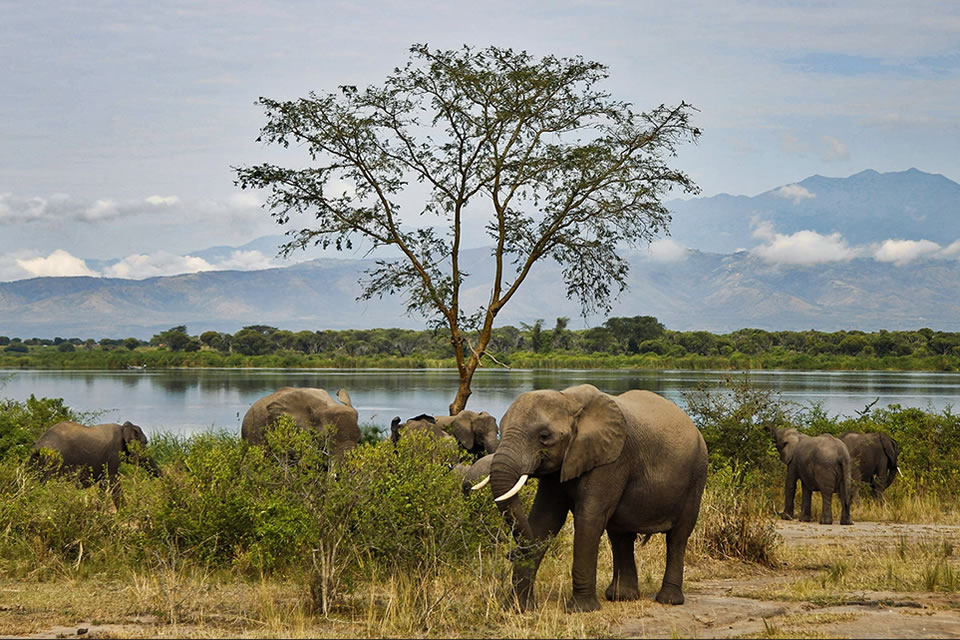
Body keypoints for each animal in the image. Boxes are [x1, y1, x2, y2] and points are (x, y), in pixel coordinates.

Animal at [31, 420, 160, 504]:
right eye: (145, 443)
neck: (123, 427)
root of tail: (39, 446)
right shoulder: (113, 454)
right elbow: (114, 482)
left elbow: (104, 482)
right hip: (53, 460)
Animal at [488, 382, 704, 612]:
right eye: (501, 429)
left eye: (544, 436)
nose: (510, 554)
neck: (569, 399)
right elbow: (545, 519)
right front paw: (518, 608)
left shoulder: (611, 460)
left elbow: (589, 519)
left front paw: (581, 610)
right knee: (620, 534)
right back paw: (621, 597)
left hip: (696, 476)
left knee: (678, 537)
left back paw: (668, 600)